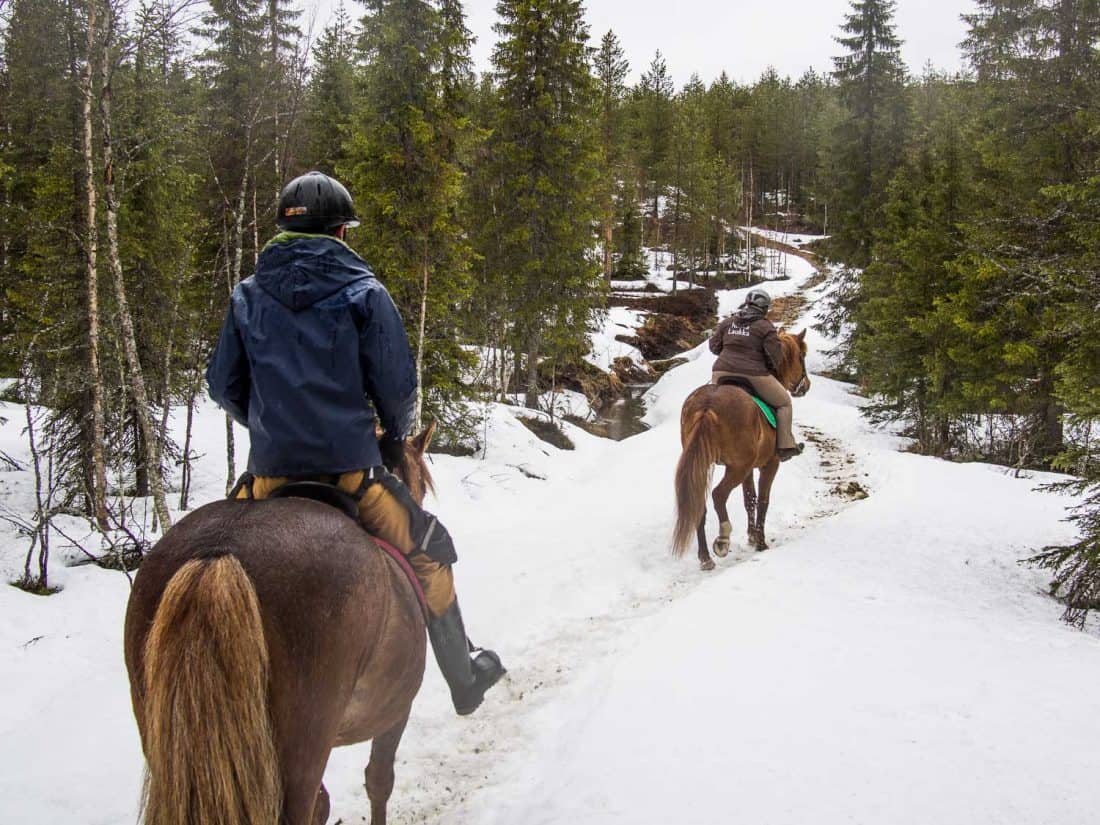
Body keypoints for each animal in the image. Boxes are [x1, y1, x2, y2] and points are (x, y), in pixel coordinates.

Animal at [668, 330, 809, 567]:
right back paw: (723, 540)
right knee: (718, 495)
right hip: (736, 467)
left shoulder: (749, 468)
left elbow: (749, 499)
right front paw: (760, 542)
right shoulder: (768, 464)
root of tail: (708, 405)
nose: (805, 386)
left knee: (700, 503)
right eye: (801, 356)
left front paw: (752, 536)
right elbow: (762, 500)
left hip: (710, 464)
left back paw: (705, 557)